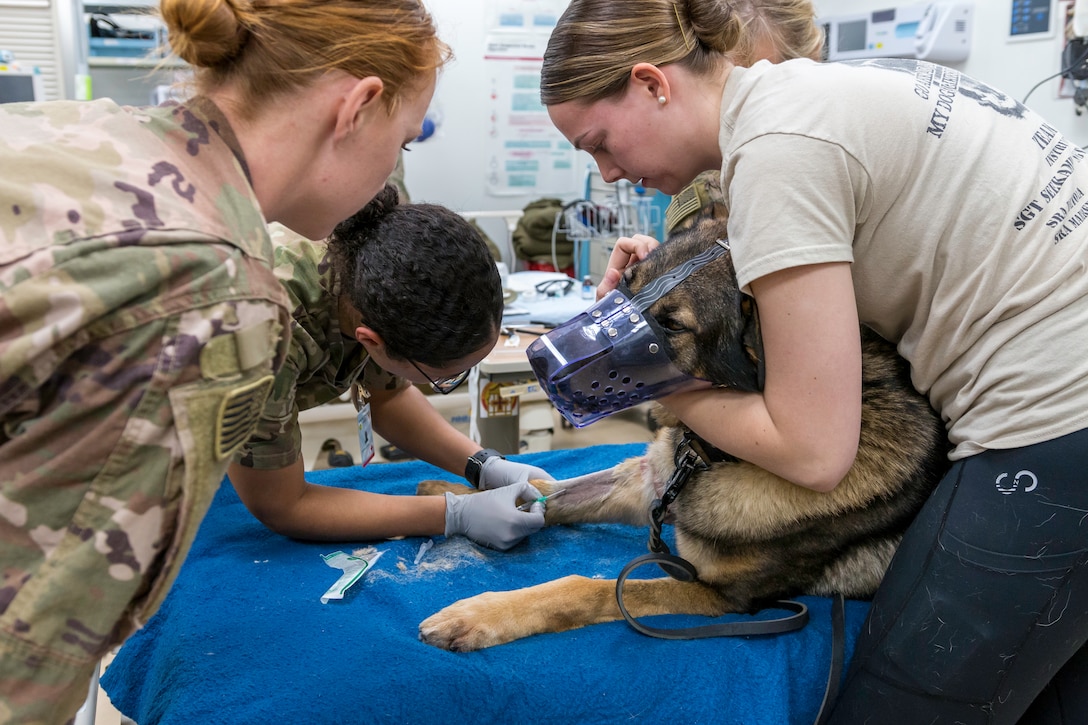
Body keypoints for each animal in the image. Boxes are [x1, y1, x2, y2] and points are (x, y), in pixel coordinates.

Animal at [413, 200, 944, 644]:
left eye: (670, 326)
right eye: (626, 282)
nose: (541, 361)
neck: (713, 456)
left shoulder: (723, 598)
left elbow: (588, 587)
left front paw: (481, 615)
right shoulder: (644, 482)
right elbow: (556, 492)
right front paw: (470, 498)